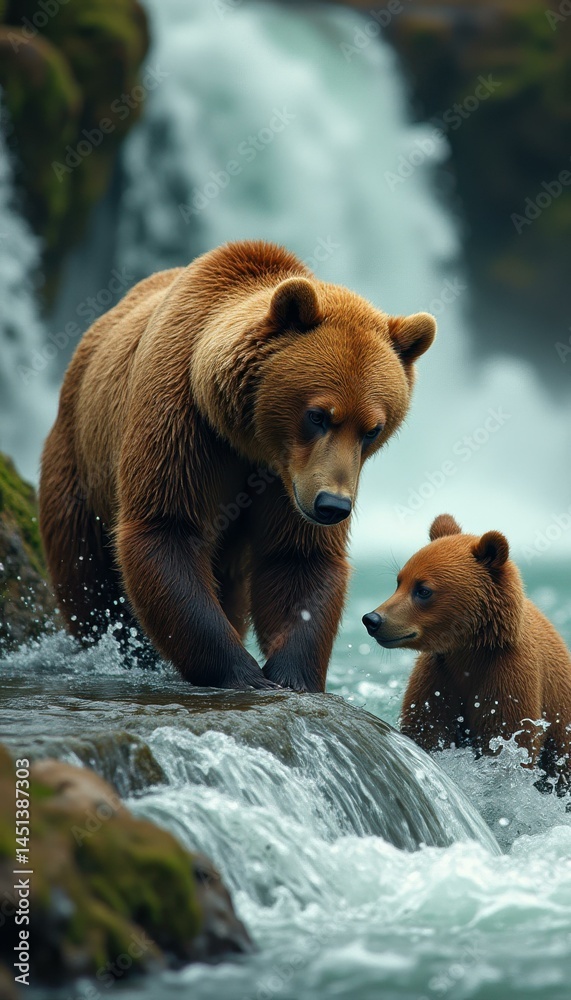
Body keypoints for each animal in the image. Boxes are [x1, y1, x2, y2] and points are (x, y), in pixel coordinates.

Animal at [40, 240, 436, 692]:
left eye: (372, 429)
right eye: (317, 415)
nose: (332, 506)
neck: (250, 440)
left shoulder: (287, 481)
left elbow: (296, 557)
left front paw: (292, 674)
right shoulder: (185, 425)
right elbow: (166, 528)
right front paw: (240, 671)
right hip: (79, 458)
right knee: (86, 573)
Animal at [362, 513, 571, 783]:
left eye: (423, 590)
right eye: (399, 581)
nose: (373, 619)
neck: (469, 651)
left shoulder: (507, 677)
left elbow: (507, 740)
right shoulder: (437, 678)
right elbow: (427, 729)